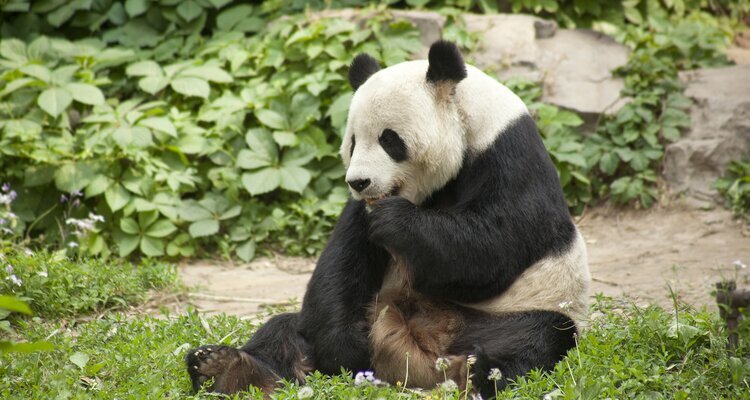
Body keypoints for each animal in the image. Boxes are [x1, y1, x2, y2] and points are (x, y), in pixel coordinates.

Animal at [185, 40, 590, 399]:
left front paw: (397, 222)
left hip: (521, 310)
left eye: (389, 139)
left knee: (530, 341)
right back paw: (228, 370)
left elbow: (493, 246)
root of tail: (419, 361)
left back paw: (477, 374)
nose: (358, 181)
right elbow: (342, 264)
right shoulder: (360, 211)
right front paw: (344, 347)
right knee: (282, 332)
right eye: (352, 142)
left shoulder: (510, 159)